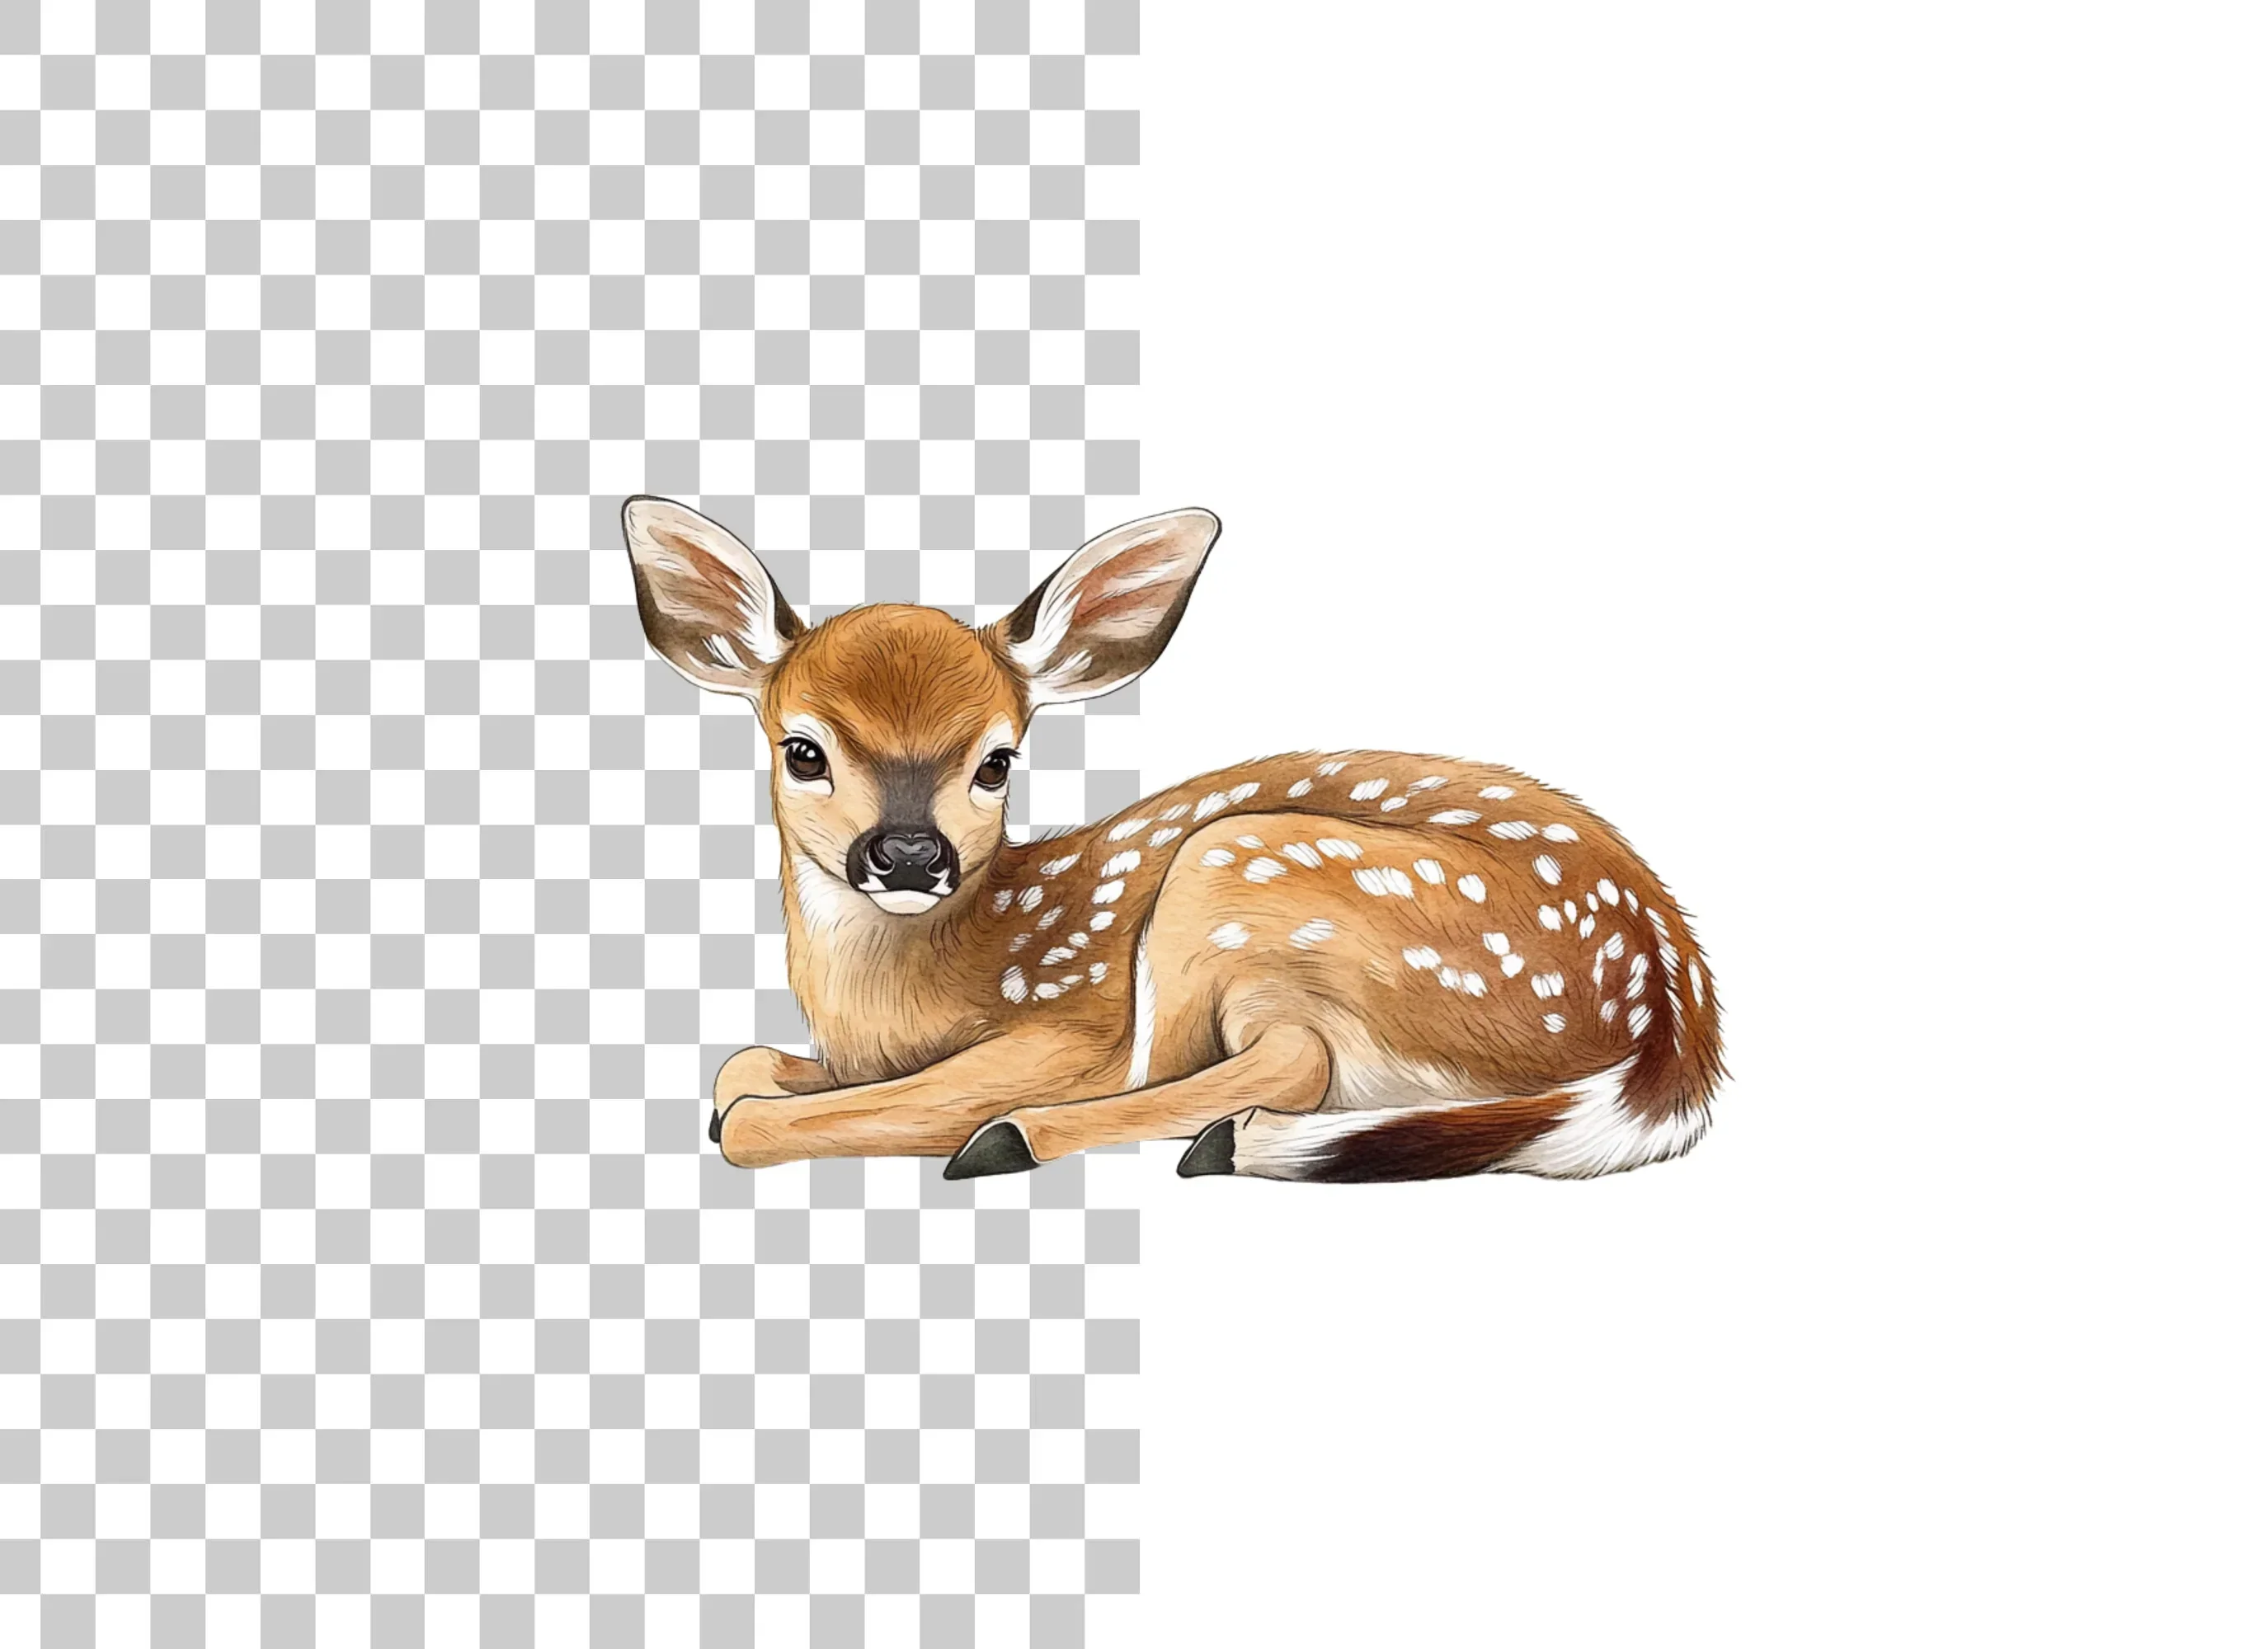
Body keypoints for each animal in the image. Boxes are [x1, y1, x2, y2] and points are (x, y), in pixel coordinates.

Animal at [621, 496, 1725, 1183]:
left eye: (997, 760)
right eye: (801, 749)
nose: (908, 855)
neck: (894, 1001)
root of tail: (1675, 1019)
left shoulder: (1073, 1027)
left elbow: (756, 1117)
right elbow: (741, 1067)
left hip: (1242, 871)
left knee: (1291, 1058)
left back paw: (1032, 1139)